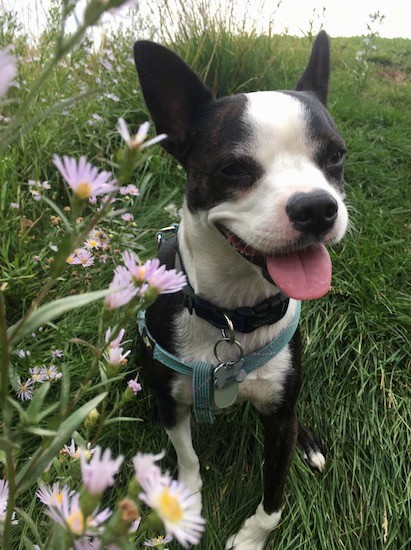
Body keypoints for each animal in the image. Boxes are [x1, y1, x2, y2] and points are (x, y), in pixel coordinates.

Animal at [134, 31, 350, 550]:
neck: (234, 315)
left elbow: (274, 499)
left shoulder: (277, 420)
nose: (316, 207)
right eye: (233, 169)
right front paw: (185, 507)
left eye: (335, 156)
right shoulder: (171, 402)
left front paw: (252, 537)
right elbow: (188, 457)